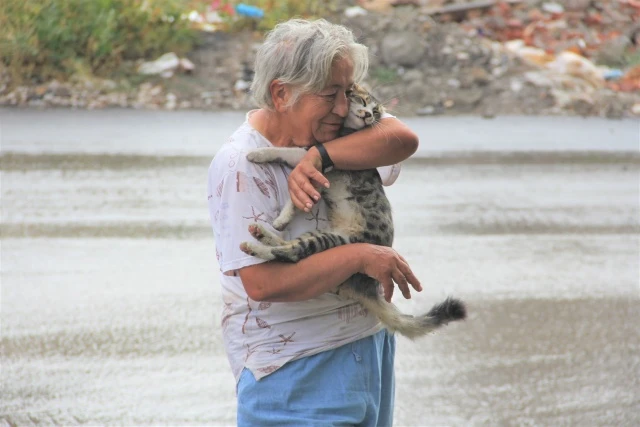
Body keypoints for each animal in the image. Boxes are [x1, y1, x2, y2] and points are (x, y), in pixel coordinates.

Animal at [240, 83, 464, 338]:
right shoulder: (315, 173)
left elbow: (288, 156)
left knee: (291, 253)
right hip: (323, 236)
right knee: (288, 248)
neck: (344, 131)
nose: (368, 115)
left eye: (376, 112)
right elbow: (295, 194)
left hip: (331, 239)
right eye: (364, 102)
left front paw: (259, 153)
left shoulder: (314, 162)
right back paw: (262, 234)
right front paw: (281, 218)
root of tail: (365, 286)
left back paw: (255, 246)